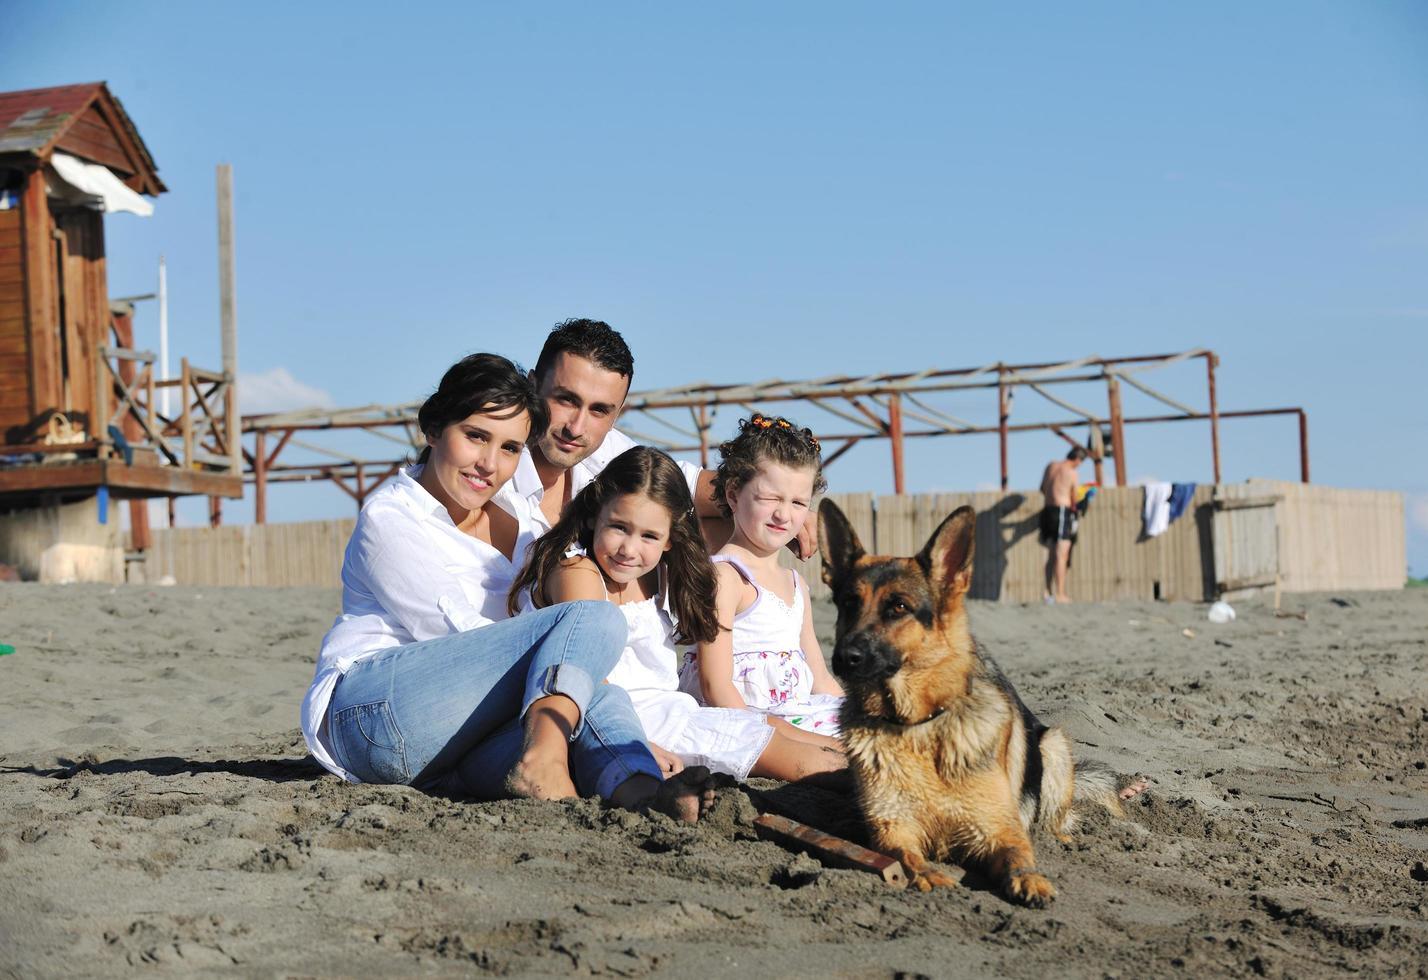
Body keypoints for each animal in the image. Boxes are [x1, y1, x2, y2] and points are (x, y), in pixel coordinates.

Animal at [822, 502, 1130, 908]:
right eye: (848, 604)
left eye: (898, 607)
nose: (844, 658)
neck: (918, 725)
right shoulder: (893, 828)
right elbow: (906, 857)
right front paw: (928, 875)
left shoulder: (998, 829)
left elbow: (1019, 855)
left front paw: (1031, 879)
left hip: (1054, 745)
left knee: (1057, 817)